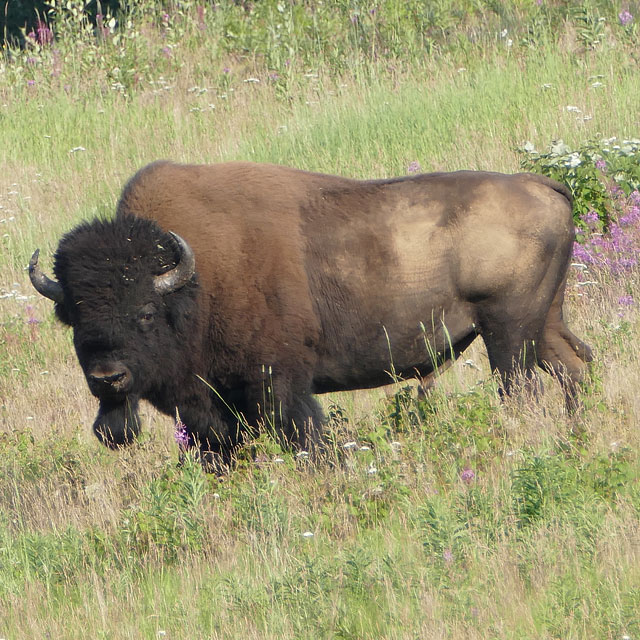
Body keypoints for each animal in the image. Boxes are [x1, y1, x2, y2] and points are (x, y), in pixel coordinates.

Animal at [28, 160, 592, 470]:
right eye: (74, 319)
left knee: (523, 389)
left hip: (509, 334)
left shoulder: (279, 384)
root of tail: (541, 186)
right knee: (575, 367)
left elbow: (305, 438)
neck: (196, 280)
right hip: (544, 325)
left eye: (145, 312)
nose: (108, 378)